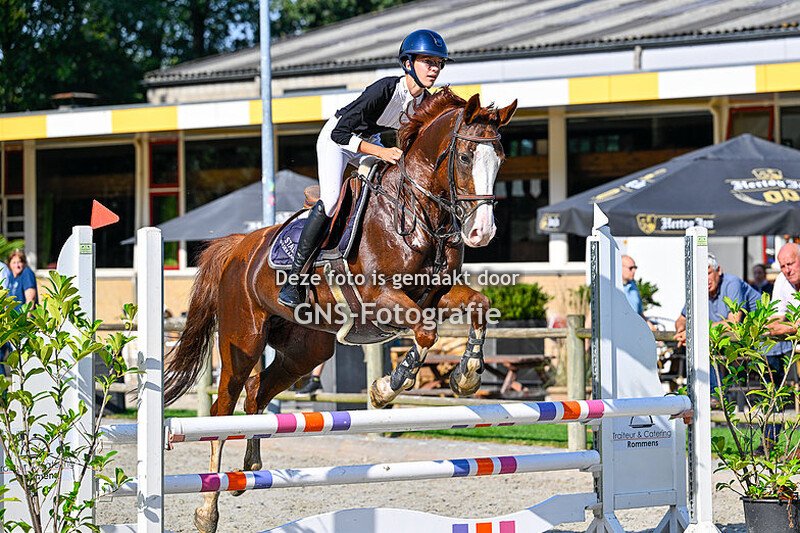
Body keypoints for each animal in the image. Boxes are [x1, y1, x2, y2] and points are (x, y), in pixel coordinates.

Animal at [163, 87, 517, 533]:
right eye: (467, 157)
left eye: (500, 157)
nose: (482, 232)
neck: (418, 212)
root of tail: (237, 248)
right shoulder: (378, 298)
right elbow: (426, 333)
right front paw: (387, 387)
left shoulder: (435, 295)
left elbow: (479, 306)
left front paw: (467, 376)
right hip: (241, 340)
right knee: (222, 410)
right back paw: (208, 510)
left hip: (305, 350)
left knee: (257, 393)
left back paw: (250, 470)